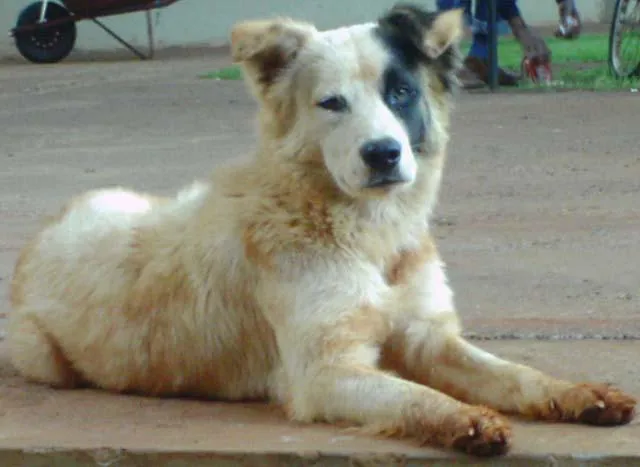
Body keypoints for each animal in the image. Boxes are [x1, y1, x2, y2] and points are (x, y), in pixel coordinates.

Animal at [8, 3, 636, 458]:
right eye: (332, 103)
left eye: (401, 93)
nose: (383, 154)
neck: (367, 235)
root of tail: (45, 231)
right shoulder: (325, 372)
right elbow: (415, 395)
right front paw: (463, 420)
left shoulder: (428, 336)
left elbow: (511, 373)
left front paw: (576, 394)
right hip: (43, 357)